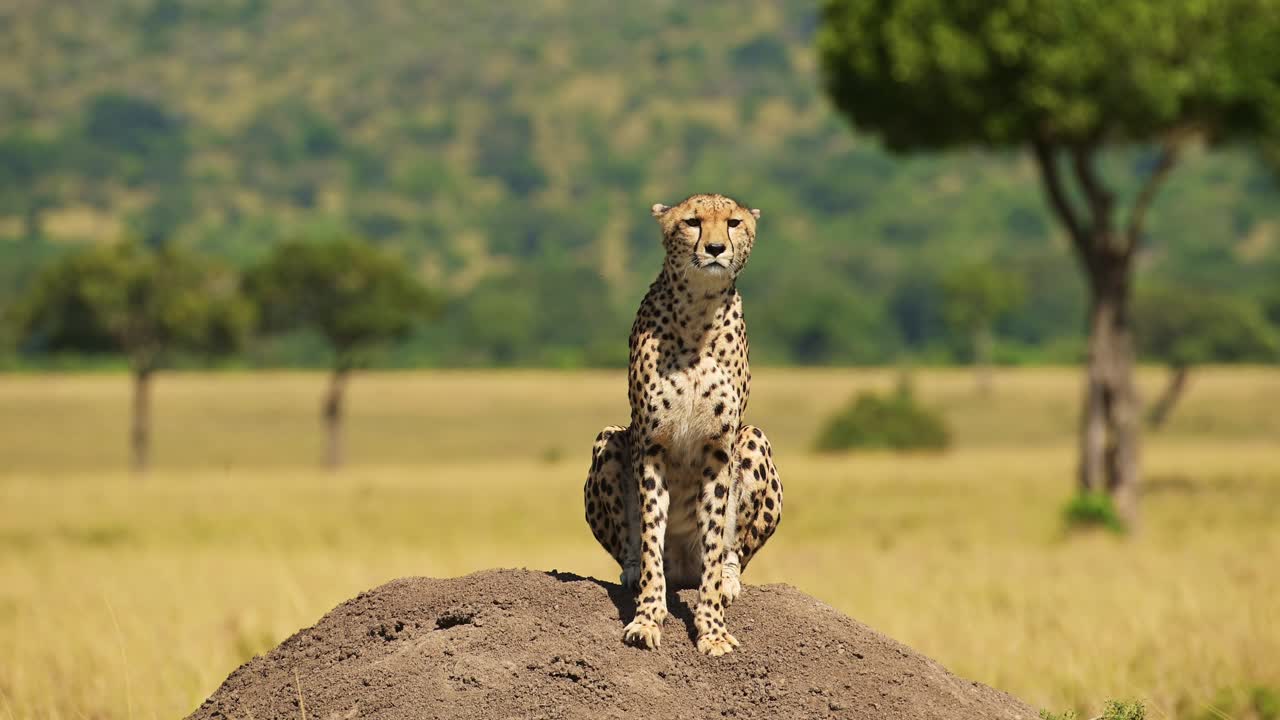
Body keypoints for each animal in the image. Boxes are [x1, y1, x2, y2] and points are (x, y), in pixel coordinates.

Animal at [583, 193, 783, 657]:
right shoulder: (650, 446)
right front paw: (646, 618)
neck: (698, 313)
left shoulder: (719, 448)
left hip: (753, 439)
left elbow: (713, 540)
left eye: (733, 223)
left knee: (731, 551)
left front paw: (712, 629)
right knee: (635, 546)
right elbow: (650, 537)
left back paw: (729, 578)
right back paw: (631, 570)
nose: (714, 249)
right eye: (692, 222)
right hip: (610, 440)